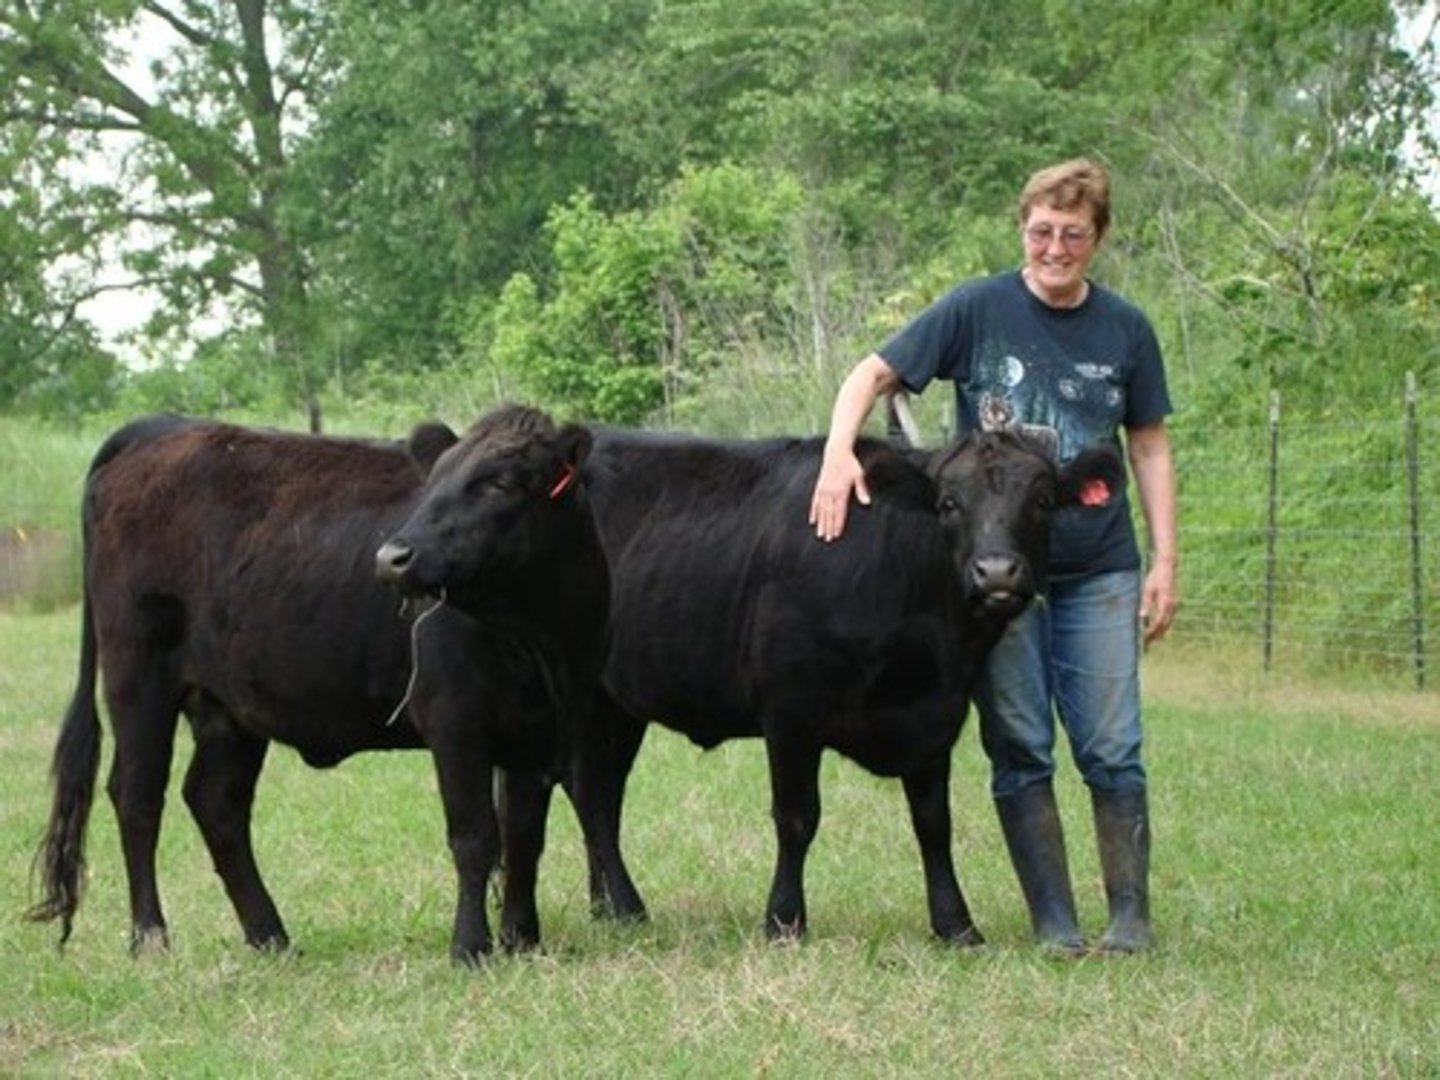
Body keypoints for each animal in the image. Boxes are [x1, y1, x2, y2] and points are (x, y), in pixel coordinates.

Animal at [26, 404, 608, 964]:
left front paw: (523, 939)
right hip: (139, 677)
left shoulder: (541, 731)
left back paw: (270, 936)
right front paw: (470, 947)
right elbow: (474, 837)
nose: (392, 558)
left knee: (216, 801)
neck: (536, 642)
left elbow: (524, 837)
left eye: (501, 483)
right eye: (436, 478)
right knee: (138, 797)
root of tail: (160, 427)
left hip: (227, 707)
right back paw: (150, 937)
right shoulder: (455, 721)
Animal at [556, 423, 1123, 943]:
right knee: (591, 792)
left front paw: (956, 925)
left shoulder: (937, 714)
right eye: (948, 503)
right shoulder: (790, 712)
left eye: (1043, 501)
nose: (998, 573)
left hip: (617, 704)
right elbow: (797, 817)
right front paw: (784, 922)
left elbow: (934, 823)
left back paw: (606, 908)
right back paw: (628, 907)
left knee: (600, 792)